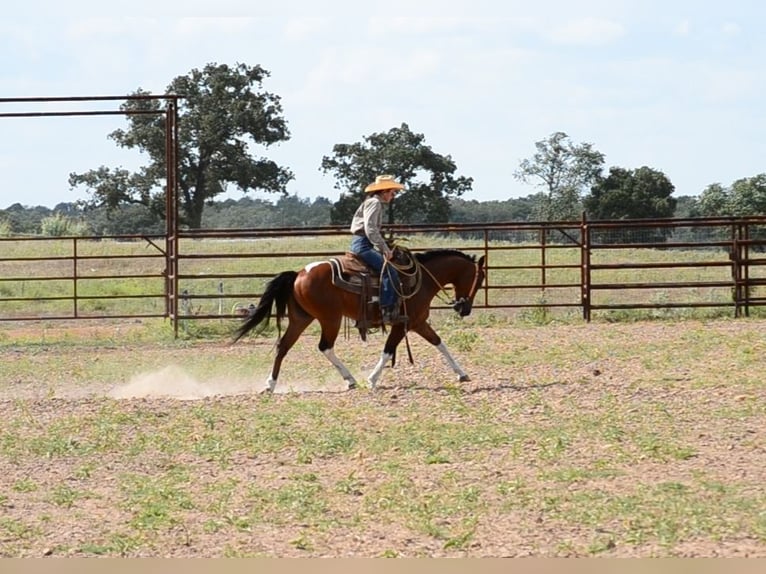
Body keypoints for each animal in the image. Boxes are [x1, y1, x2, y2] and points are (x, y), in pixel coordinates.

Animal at [231, 250, 488, 394]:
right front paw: (372, 380)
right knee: (324, 346)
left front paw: (462, 374)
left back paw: (270, 385)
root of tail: (298, 274)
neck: (420, 280)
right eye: (480, 279)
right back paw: (351, 380)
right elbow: (388, 350)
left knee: (283, 347)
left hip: (301, 319)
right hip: (330, 319)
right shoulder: (401, 324)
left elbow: (439, 343)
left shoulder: (418, 323)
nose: (464, 308)